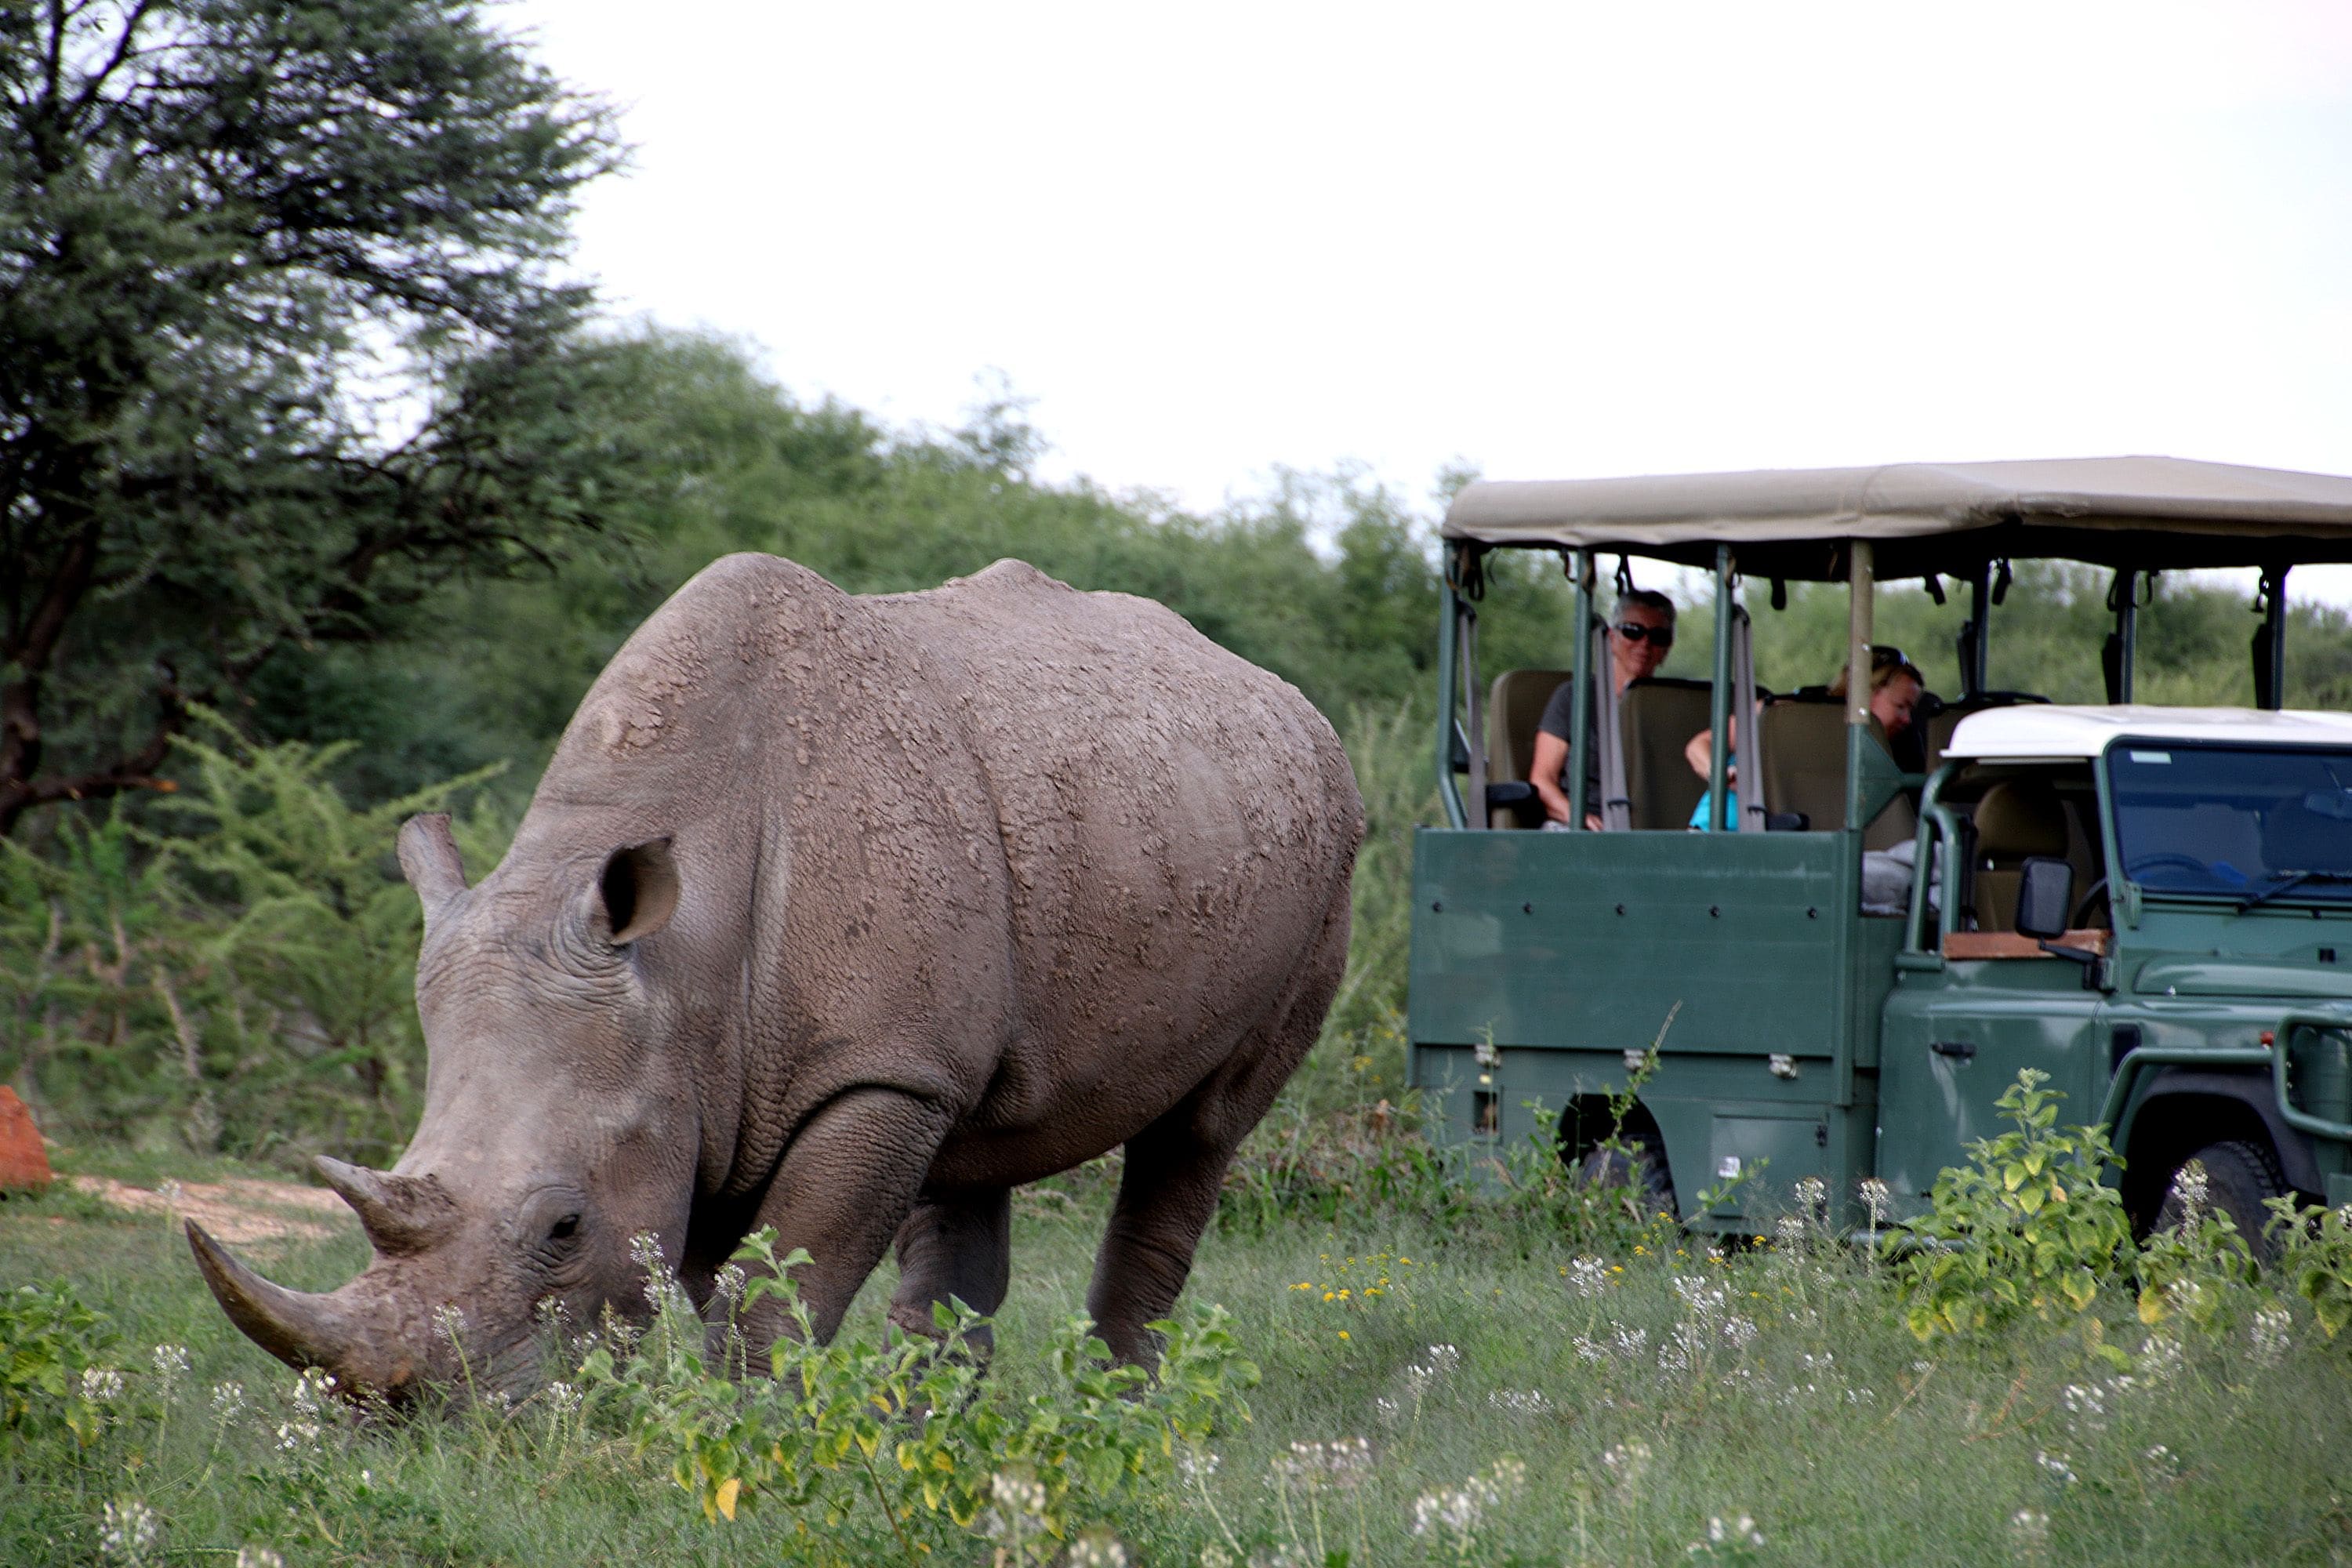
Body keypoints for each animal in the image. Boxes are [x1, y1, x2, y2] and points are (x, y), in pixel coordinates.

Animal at [188, 555, 1362, 1399]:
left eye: (563, 1227)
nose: (418, 1425)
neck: (681, 959)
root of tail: (1286, 698)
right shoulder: (704, 1071)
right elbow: (693, 1265)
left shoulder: (869, 1069)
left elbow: (778, 1279)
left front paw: (734, 1430)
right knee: (975, 1137)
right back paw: (927, 1424)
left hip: (1326, 848)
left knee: (1202, 1131)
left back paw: (1112, 1415)